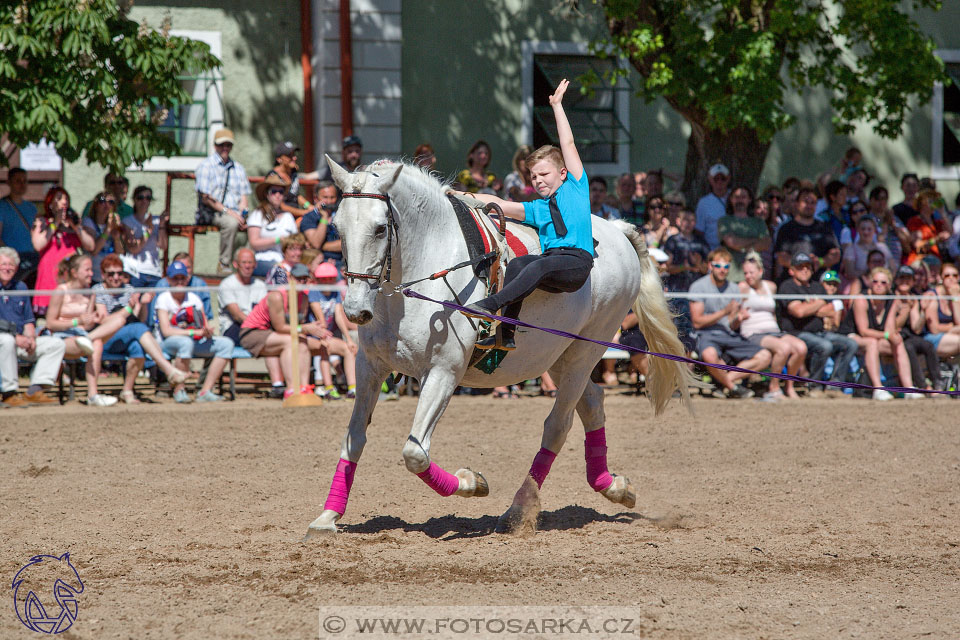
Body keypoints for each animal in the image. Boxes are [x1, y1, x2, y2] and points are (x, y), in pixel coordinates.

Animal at [306, 158, 688, 536]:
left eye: (380, 229)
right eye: (337, 228)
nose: (355, 310)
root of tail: (617, 232)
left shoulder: (443, 373)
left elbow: (415, 453)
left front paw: (471, 482)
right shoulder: (369, 368)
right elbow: (354, 438)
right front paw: (327, 517)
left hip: (585, 353)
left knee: (558, 425)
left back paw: (519, 510)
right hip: (556, 356)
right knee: (592, 403)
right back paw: (613, 487)